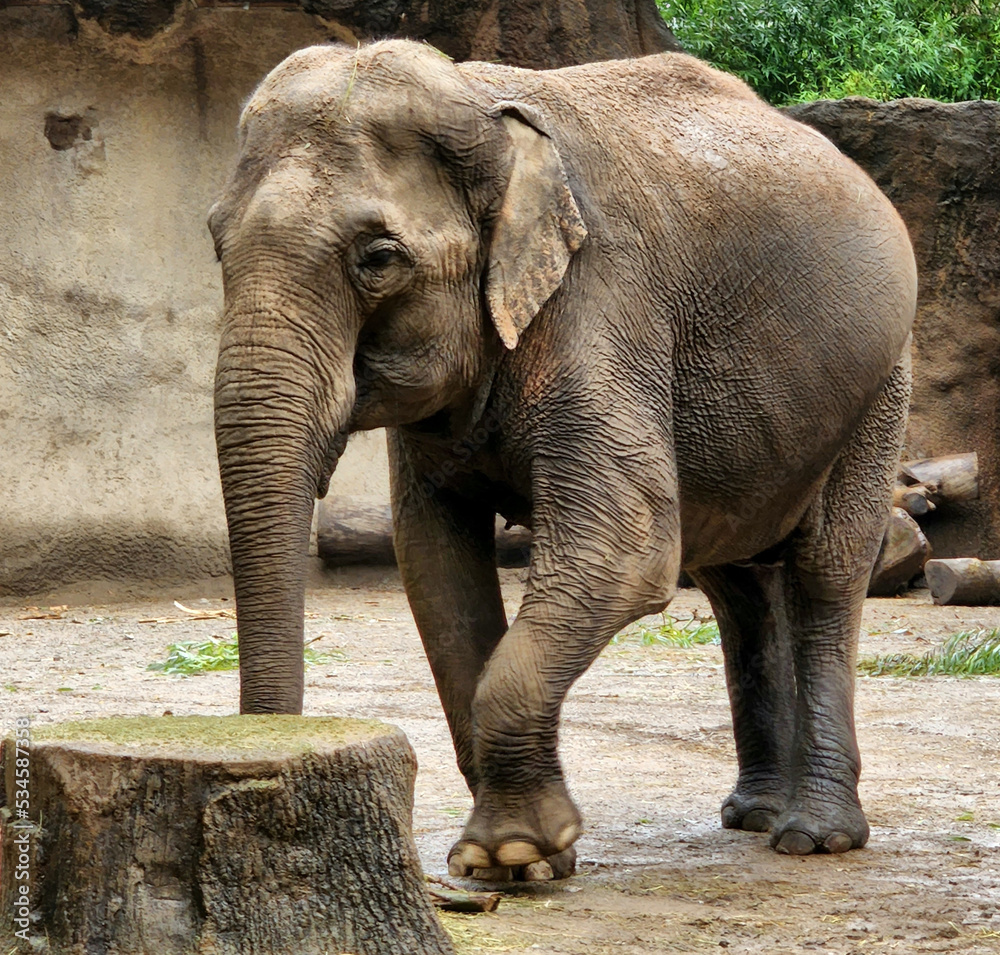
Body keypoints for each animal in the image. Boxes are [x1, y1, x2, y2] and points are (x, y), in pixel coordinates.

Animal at [208, 40, 916, 881]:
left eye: (377, 258)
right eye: (215, 241)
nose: (265, 767)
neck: (483, 105)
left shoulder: (602, 298)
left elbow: (626, 548)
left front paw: (511, 851)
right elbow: (435, 564)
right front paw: (518, 864)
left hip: (881, 383)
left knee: (827, 570)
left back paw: (813, 835)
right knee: (735, 584)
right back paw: (751, 814)